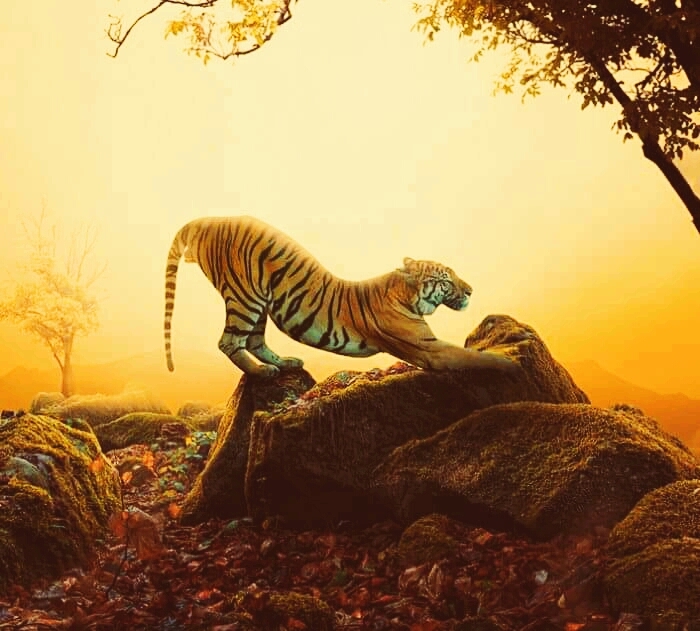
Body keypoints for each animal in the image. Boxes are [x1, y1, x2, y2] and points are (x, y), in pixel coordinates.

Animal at [164, 216, 519, 378]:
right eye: (445, 280)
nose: (470, 290)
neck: (407, 294)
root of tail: (205, 220)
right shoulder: (428, 349)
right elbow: (474, 357)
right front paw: (511, 364)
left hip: (259, 302)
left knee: (253, 339)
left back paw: (286, 363)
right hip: (244, 297)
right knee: (229, 341)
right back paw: (261, 372)